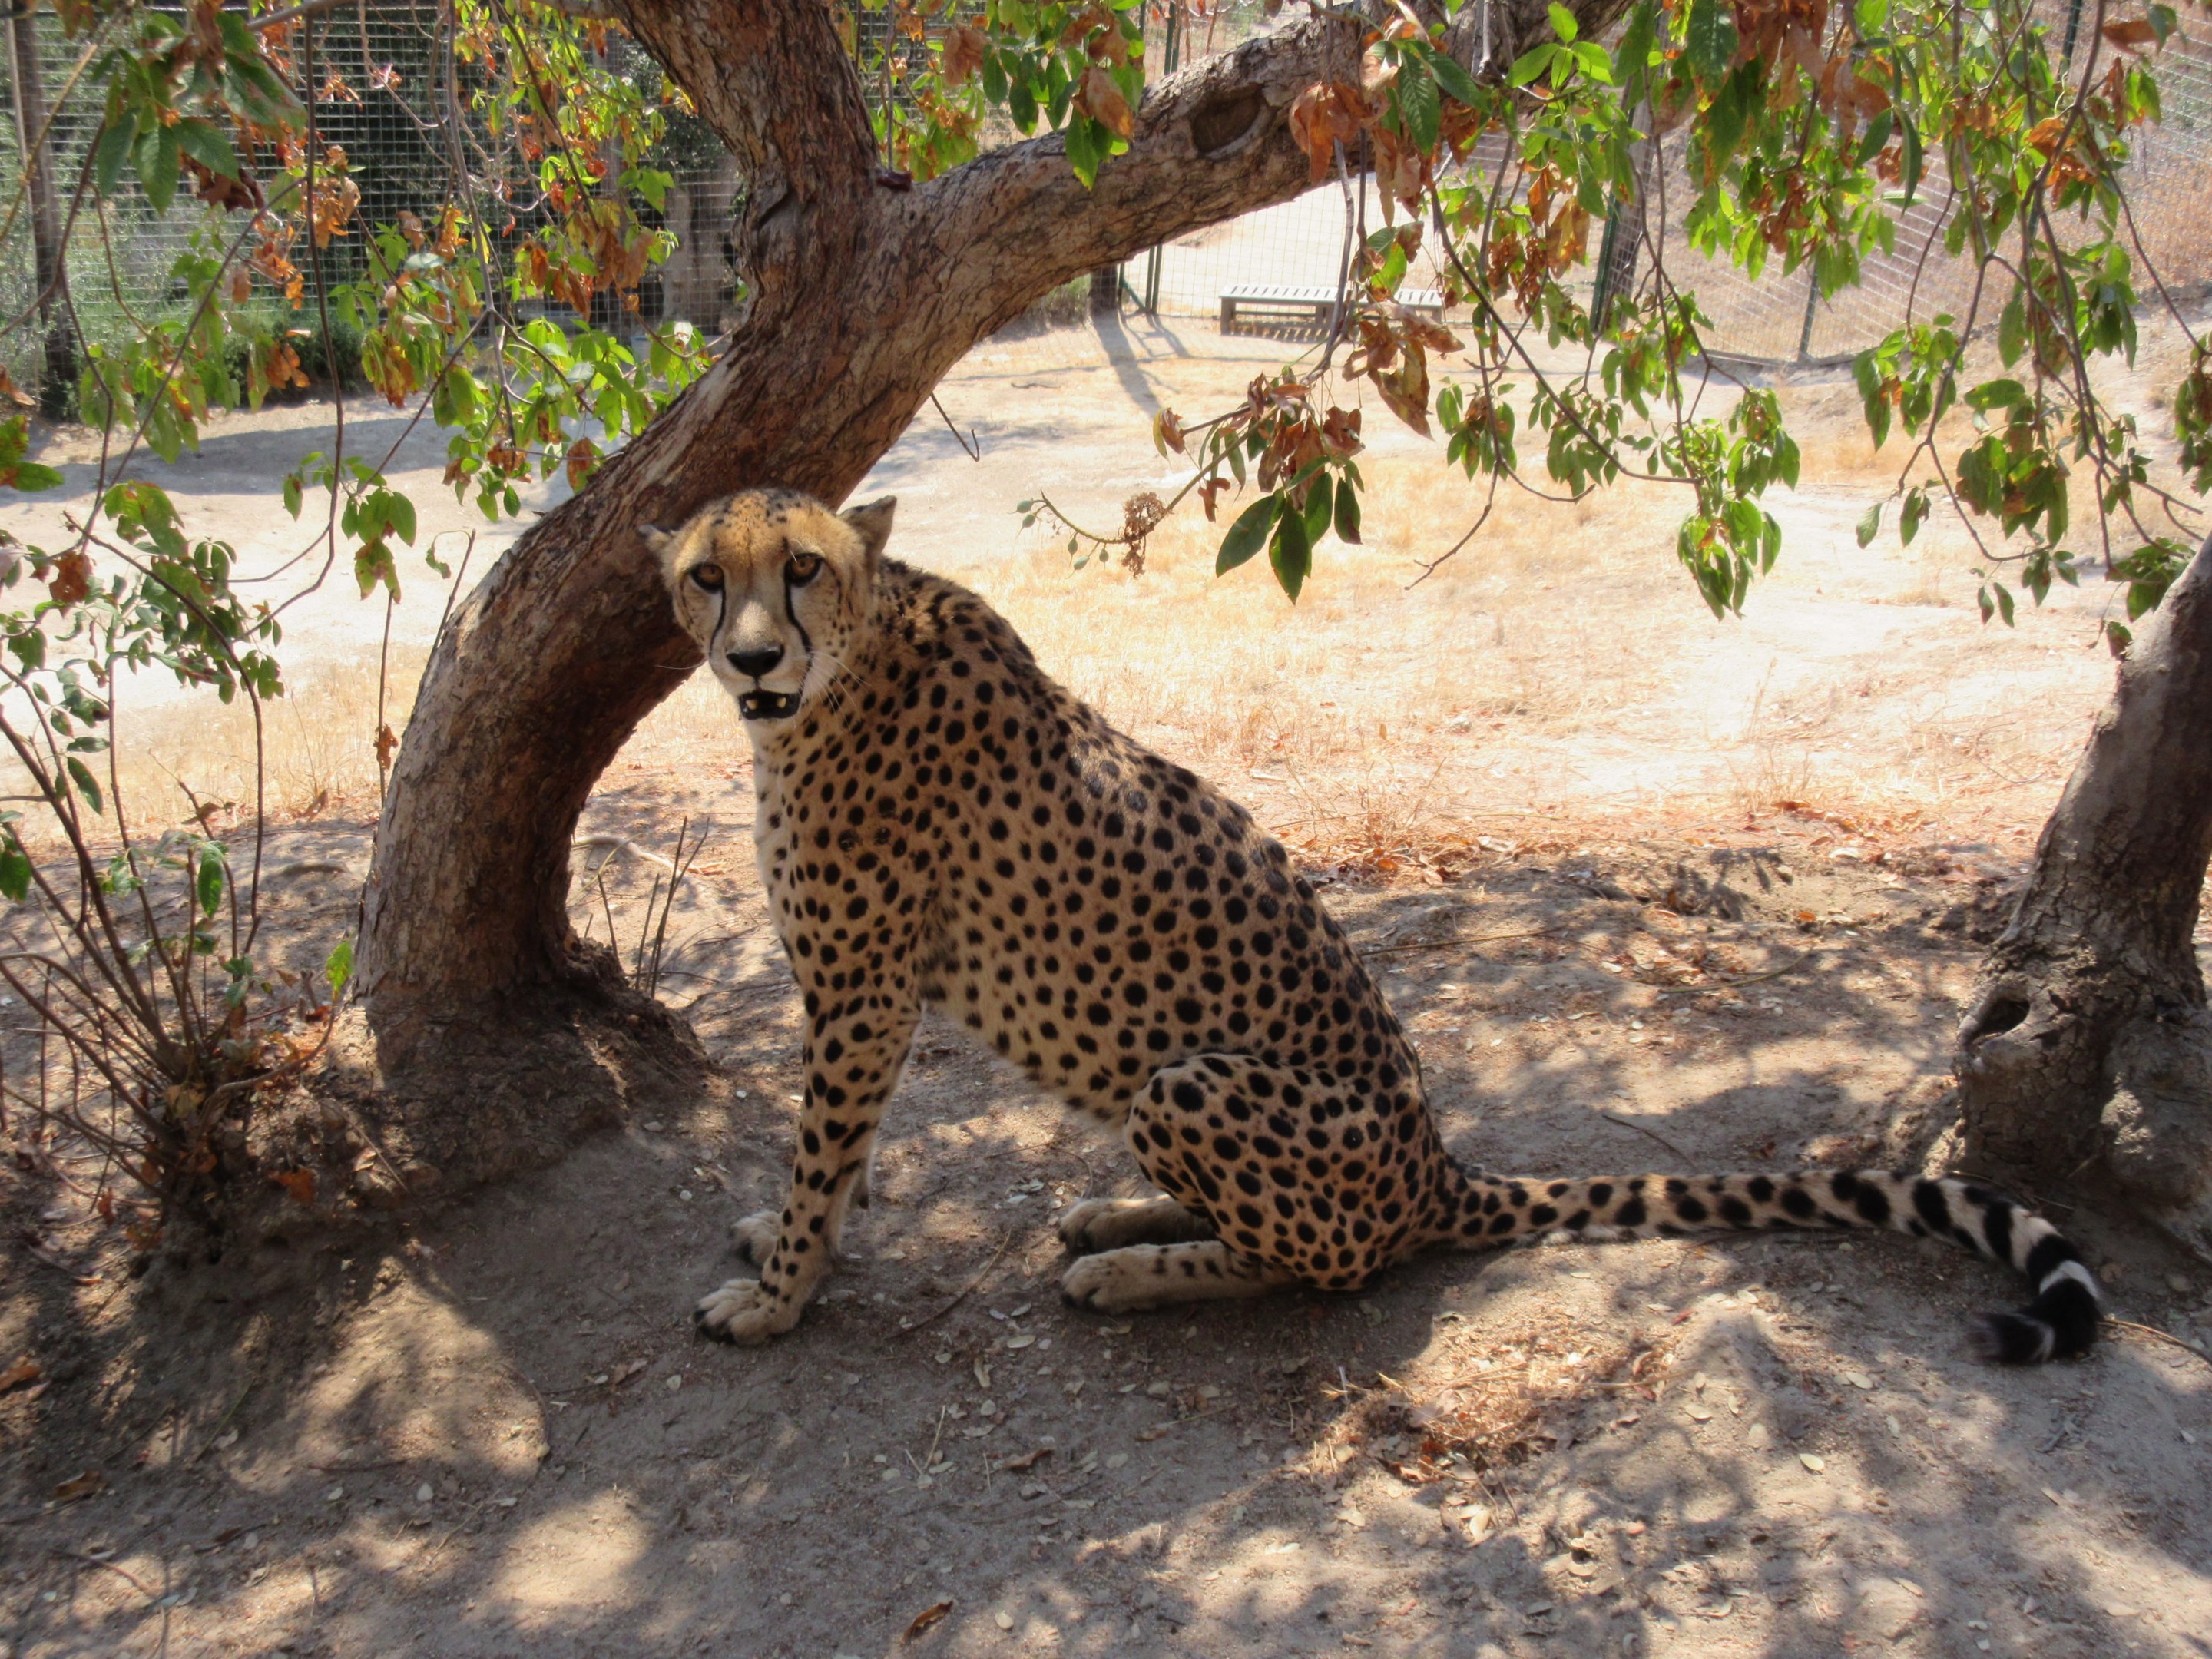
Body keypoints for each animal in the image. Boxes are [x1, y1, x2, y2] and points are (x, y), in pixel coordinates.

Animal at [644, 487, 2100, 1365]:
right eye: (706, 577)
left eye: (803, 569)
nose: (753, 658)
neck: (855, 652)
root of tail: (1436, 1167)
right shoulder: (858, 995)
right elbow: (842, 1152)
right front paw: (797, 1254)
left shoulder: (861, 990)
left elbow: (823, 1150)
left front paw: (778, 1294)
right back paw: (1120, 1217)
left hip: (1190, 1083)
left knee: (1318, 1268)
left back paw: (1133, 1269)